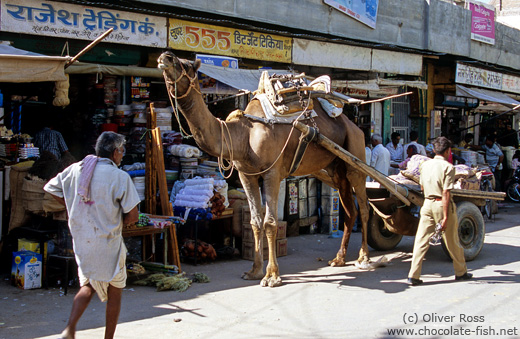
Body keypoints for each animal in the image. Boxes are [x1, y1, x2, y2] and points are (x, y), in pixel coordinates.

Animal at [158, 51, 370, 288]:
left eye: (186, 65)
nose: (166, 56)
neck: (243, 134)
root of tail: (354, 125)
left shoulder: (272, 173)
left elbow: (270, 223)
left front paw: (271, 276)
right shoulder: (246, 174)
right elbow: (255, 221)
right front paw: (254, 271)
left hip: (355, 155)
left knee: (363, 206)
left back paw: (364, 258)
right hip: (336, 167)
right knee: (350, 210)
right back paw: (339, 258)